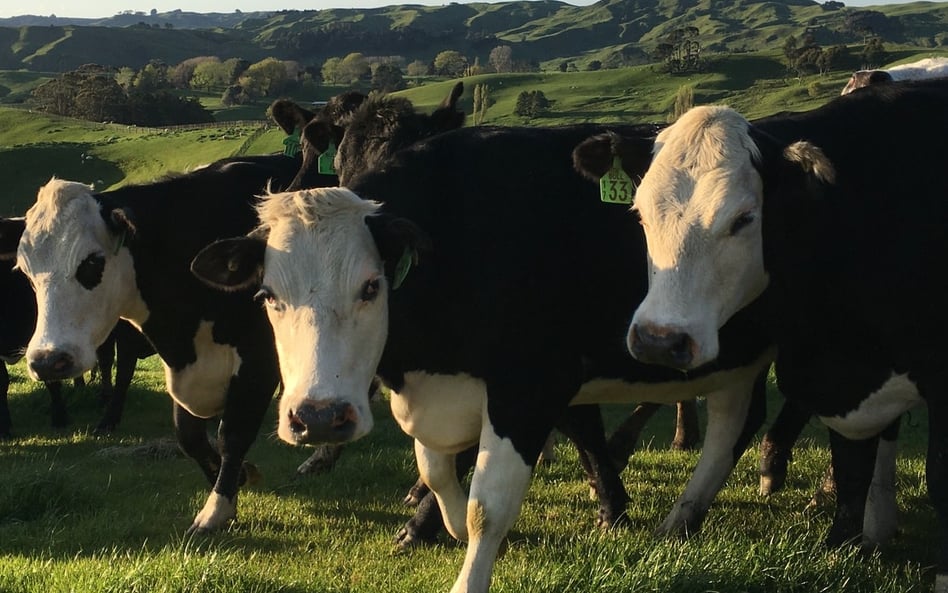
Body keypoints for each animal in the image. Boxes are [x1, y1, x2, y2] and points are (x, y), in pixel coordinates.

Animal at [191, 121, 776, 592]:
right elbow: (436, 469)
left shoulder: (530, 387)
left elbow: (486, 507)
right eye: (268, 296)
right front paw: (439, 520)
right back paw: (683, 516)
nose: (317, 417)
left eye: (371, 287)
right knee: (737, 421)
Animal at [624, 76, 948, 588]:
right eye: (639, 213)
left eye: (743, 219)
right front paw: (841, 549)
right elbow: (851, 467)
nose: (659, 340)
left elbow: (937, 480)